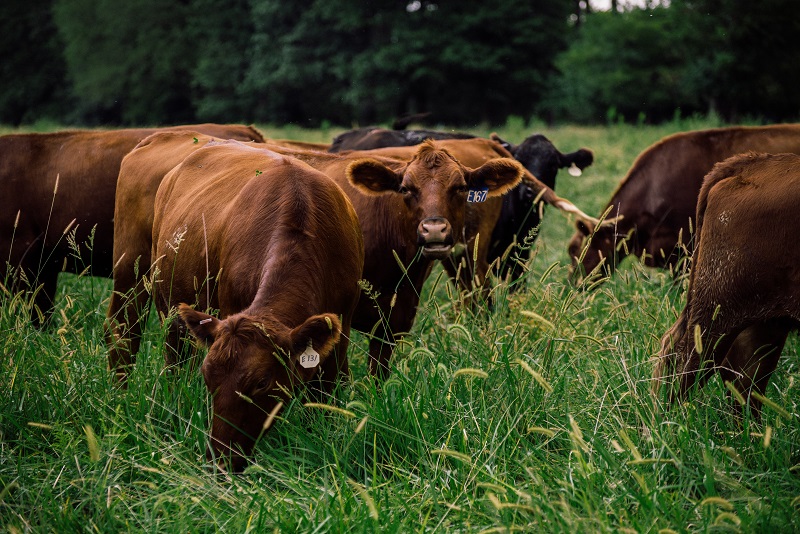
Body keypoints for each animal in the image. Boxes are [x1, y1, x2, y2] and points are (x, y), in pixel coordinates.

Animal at [150, 140, 362, 472]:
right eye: (208, 376)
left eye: (261, 383)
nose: (221, 459)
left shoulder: (341, 332)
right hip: (169, 312)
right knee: (174, 364)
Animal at [652, 153, 800, 416]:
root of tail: (749, 164)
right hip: (717, 312)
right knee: (687, 361)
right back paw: (671, 422)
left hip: (766, 323)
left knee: (745, 383)